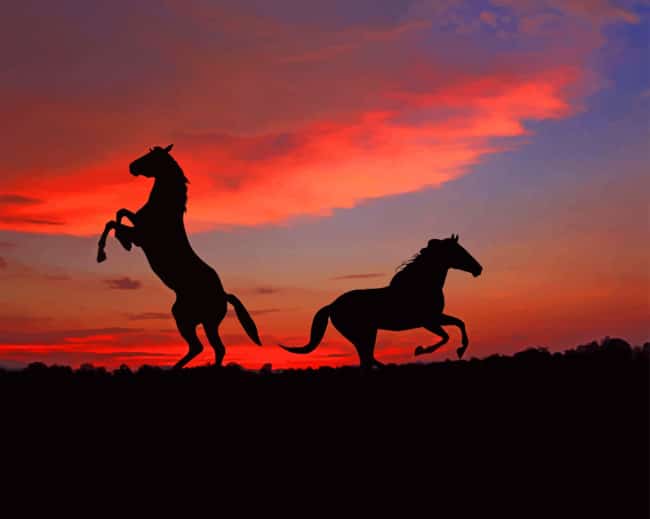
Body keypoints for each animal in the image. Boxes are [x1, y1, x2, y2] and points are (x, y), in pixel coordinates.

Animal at [97, 144, 261, 369]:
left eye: (152, 156)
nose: (132, 166)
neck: (164, 209)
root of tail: (224, 295)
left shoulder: (141, 236)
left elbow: (113, 222)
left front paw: (104, 252)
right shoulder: (138, 225)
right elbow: (120, 213)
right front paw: (122, 243)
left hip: (193, 320)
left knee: (207, 347)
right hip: (195, 320)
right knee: (208, 348)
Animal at [280, 235, 482, 369]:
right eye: (459, 251)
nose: (478, 268)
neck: (420, 285)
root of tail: (332, 305)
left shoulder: (435, 317)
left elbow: (460, 323)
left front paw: (460, 350)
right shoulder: (427, 321)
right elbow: (446, 336)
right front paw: (420, 350)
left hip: (366, 333)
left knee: (367, 359)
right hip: (363, 333)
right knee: (367, 358)